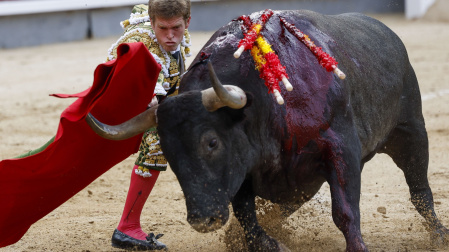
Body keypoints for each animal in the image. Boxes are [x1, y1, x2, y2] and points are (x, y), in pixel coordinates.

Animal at [86, 9, 448, 252]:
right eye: (170, 153)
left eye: (211, 142)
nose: (203, 220)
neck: (265, 100)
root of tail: (386, 32)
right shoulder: (246, 166)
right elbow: (247, 215)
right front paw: (269, 243)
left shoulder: (340, 149)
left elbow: (345, 211)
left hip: (411, 131)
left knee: (420, 190)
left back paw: (439, 234)